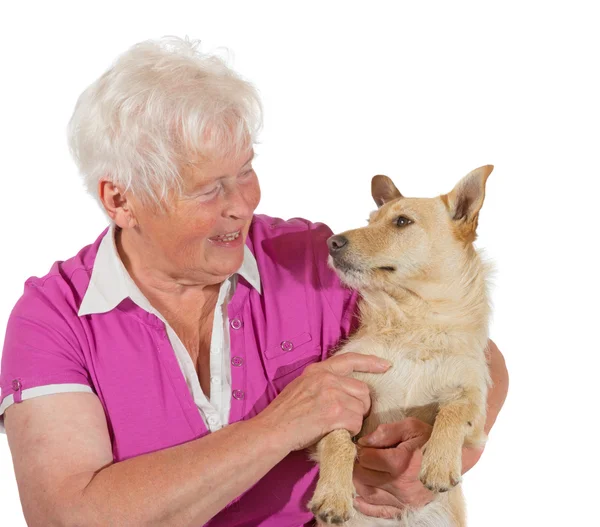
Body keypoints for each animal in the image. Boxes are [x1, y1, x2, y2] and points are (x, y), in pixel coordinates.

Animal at [308, 166, 494, 527]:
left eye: (402, 221)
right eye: (370, 220)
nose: (331, 242)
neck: (414, 325)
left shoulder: (476, 409)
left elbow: (454, 410)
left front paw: (438, 463)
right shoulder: (342, 397)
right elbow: (338, 441)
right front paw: (333, 494)